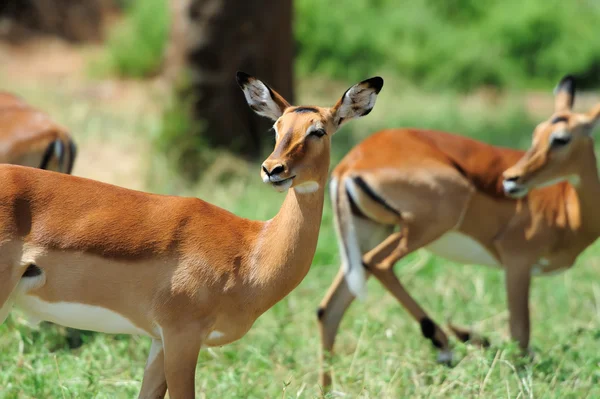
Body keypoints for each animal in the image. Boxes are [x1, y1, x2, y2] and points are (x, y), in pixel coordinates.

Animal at [0, 73, 384, 398]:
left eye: (318, 130)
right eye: (277, 127)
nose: (273, 169)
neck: (251, 250)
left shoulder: (160, 341)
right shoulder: (182, 337)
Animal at [316, 76, 596, 388]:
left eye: (560, 138)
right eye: (538, 133)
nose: (511, 180)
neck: (566, 203)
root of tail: (351, 162)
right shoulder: (517, 262)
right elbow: (520, 333)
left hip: (371, 233)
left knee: (330, 308)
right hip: (423, 226)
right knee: (379, 263)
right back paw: (445, 345)